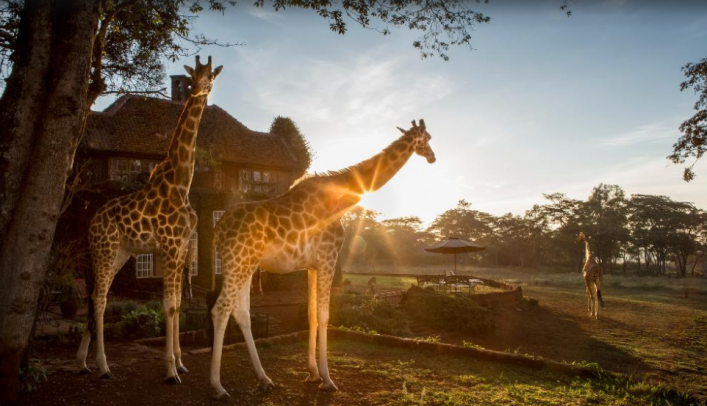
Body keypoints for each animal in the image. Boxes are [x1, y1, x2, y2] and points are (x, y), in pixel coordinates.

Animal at [76, 56, 223, 383]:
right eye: (193, 76)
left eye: (211, 77)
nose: (199, 90)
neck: (181, 183)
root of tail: (91, 222)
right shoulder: (168, 246)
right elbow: (168, 306)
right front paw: (170, 370)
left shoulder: (180, 249)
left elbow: (178, 304)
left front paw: (180, 362)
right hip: (104, 251)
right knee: (99, 300)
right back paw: (103, 366)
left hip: (118, 254)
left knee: (95, 298)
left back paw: (81, 362)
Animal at [209, 119, 436, 399]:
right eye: (427, 138)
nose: (432, 157)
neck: (341, 198)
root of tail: (218, 231)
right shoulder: (329, 257)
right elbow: (326, 315)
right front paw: (328, 379)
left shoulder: (312, 266)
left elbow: (312, 314)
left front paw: (313, 373)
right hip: (237, 262)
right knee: (220, 309)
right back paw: (218, 386)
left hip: (246, 265)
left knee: (241, 312)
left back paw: (264, 379)